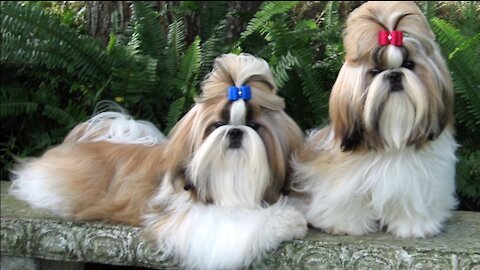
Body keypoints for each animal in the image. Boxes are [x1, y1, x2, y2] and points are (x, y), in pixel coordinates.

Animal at [292, 1, 458, 238]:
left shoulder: (418, 179)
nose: (394, 74)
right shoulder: (346, 178)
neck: (393, 136)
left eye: (409, 64)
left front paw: (413, 225)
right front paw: (345, 224)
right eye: (375, 71)